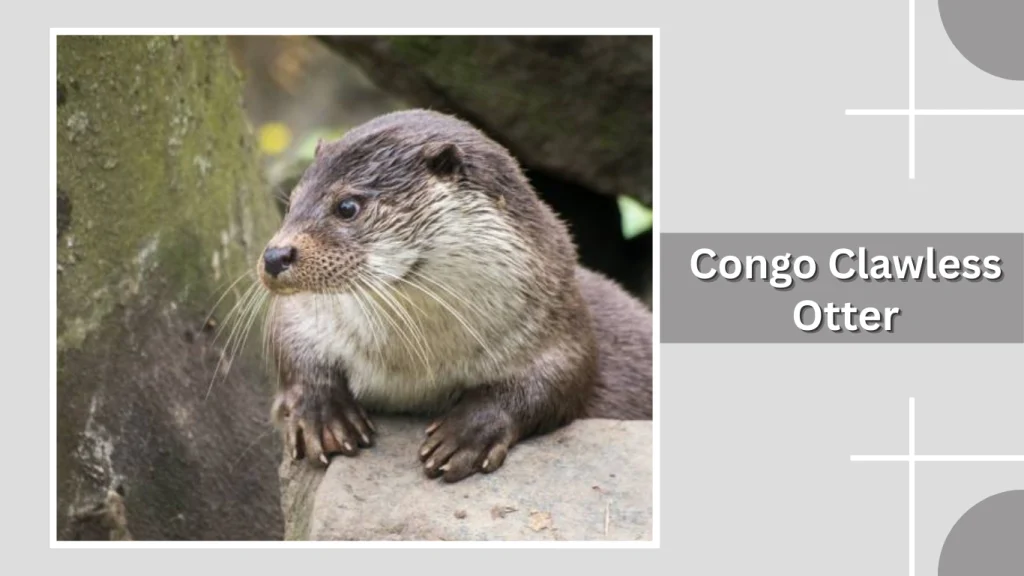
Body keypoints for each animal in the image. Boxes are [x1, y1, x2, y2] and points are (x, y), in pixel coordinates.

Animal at [260, 109, 652, 483]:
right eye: (291, 203)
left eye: (347, 207)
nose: (275, 256)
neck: (413, 368)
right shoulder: (303, 312)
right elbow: (289, 341)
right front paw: (322, 413)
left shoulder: (559, 316)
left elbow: (561, 380)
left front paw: (468, 434)